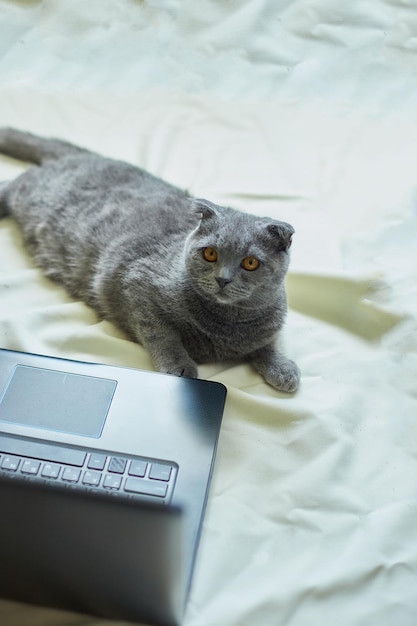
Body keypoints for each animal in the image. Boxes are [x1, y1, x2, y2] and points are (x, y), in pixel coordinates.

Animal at [0, 126, 300, 390]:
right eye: (210, 253)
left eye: (250, 262)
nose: (222, 279)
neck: (227, 325)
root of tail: (92, 157)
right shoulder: (136, 285)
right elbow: (162, 333)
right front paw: (180, 366)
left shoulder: (269, 324)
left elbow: (270, 343)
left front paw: (283, 368)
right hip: (34, 194)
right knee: (15, 181)